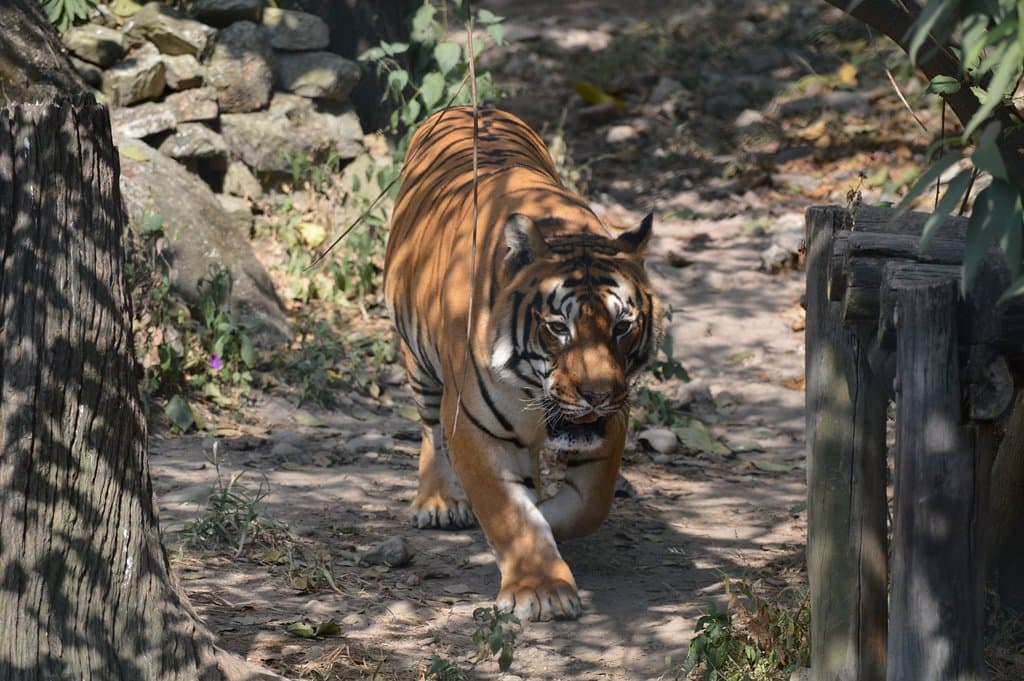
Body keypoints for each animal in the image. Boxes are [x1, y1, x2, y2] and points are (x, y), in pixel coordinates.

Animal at [383, 106, 661, 621]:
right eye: (558, 327)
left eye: (621, 326)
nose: (597, 395)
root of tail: (471, 106)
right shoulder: (473, 426)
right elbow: (509, 512)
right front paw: (541, 590)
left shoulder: (612, 421)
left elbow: (589, 504)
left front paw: (545, 520)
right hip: (420, 365)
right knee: (429, 429)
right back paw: (439, 500)